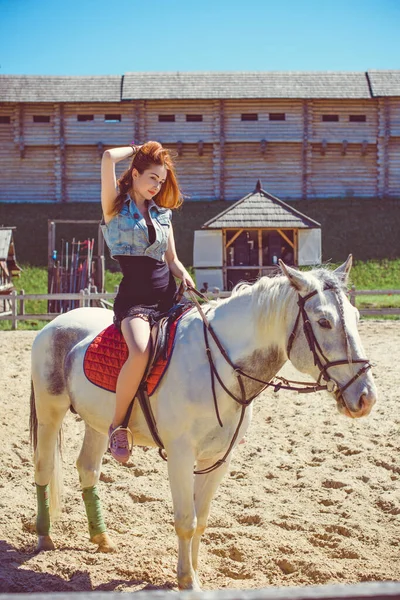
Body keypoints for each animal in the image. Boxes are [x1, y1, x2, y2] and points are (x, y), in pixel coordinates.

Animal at [30, 255, 376, 588]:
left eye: (357, 318)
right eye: (323, 322)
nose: (366, 397)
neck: (219, 364)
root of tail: (55, 323)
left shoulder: (218, 459)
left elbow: (202, 519)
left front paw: (195, 572)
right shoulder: (181, 456)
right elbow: (186, 521)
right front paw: (186, 581)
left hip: (99, 423)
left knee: (88, 469)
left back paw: (101, 538)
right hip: (50, 413)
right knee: (44, 467)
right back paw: (44, 536)